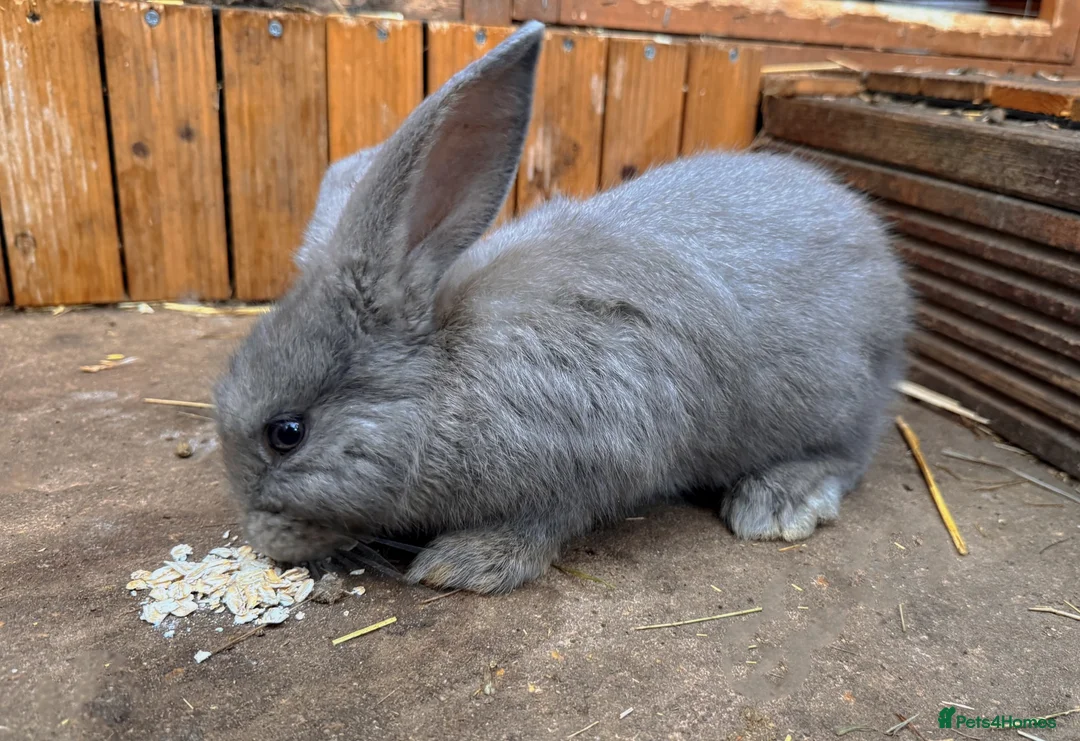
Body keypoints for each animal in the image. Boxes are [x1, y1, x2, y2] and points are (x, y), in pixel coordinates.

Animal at [213, 20, 912, 595]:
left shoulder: (595, 457)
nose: (266, 543)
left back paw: (778, 503)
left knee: (852, 452)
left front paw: (464, 564)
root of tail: (891, 282)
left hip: (834, 399)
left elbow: (547, 521)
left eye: (287, 433)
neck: (443, 378)